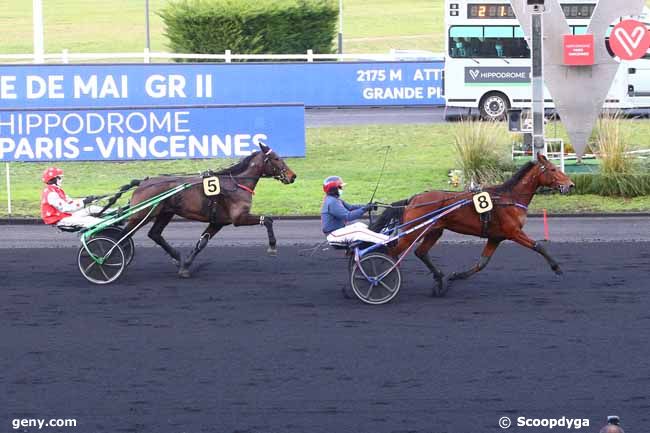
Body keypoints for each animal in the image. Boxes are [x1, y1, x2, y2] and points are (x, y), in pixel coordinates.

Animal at [122, 142, 296, 276]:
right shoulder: (239, 218)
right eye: (276, 158)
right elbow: (267, 220)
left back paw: (176, 256)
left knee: (154, 234)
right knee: (123, 235)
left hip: (165, 213)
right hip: (141, 215)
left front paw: (185, 266)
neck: (236, 184)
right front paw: (272, 246)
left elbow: (202, 242)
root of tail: (143, 182)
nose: (293, 176)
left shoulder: (218, 222)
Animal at [370, 152, 572, 296]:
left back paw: (439, 279)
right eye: (553, 169)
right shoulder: (513, 232)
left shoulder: (496, 237)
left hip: (434, 231)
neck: (509, 198)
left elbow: (482, 263)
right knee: (391, 252)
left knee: (420, 252)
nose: (570, 185)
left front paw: (455, 276)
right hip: (412, 232)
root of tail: (413, 199)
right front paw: (557, 268)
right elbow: (538, 246)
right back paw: (380, 279)